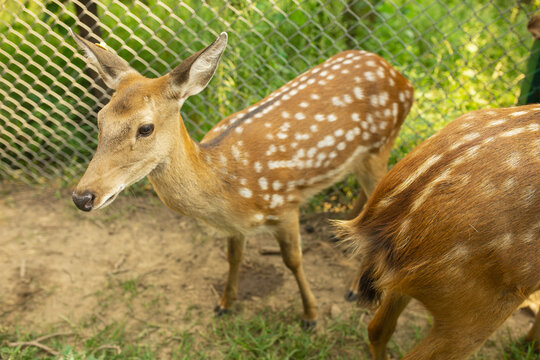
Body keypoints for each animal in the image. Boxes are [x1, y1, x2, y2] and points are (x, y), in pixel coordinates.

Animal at [70, 31, 414, 328]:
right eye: (100, 119)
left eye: (145, 128)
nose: (82, 196)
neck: (226, 182)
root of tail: (404, 80)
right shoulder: (234, 226)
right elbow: (233, 258)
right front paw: (224, 303)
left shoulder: (285, 204)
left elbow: (293, 261)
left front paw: (310, 315)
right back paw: (341, 232)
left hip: (381, 144)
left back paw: (354, 287)